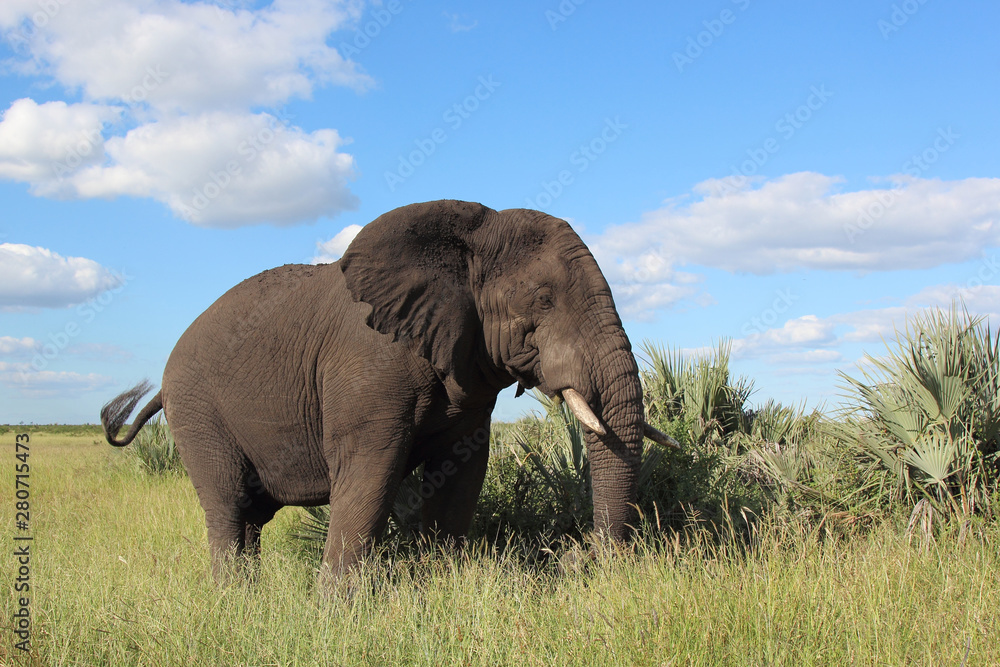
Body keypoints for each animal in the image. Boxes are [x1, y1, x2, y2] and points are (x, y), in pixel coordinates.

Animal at [101, 200, 677, 583]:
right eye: (543, 298)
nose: (579, 556)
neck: (469, 232)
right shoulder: (368, 368)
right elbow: (369, 475)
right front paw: (337, 611)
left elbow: (461, 473)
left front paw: (441, 584)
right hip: (196, 409)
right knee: (227, 503)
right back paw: (236, 599)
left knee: (250, 516)